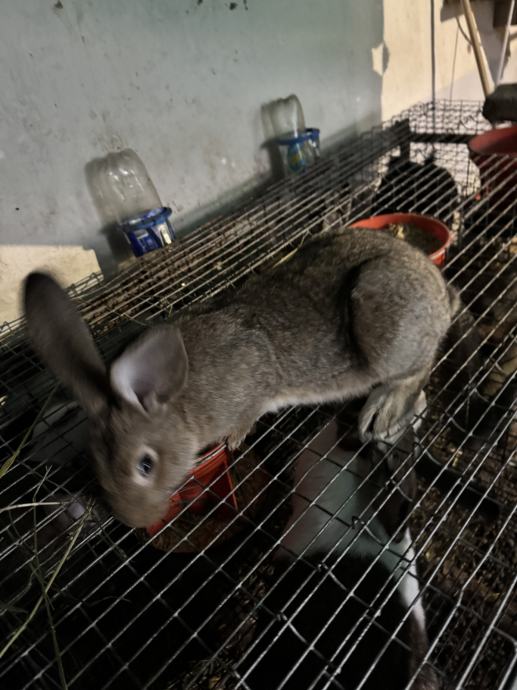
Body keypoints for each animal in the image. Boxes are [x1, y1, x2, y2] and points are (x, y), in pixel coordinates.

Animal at [23, 227, 457, 529]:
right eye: (93, 460)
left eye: (145, 466)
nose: (133, 521)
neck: (177, 404)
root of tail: (439, 291)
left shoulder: (248, 393)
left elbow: (248, 414)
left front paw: (232, 441)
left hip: (384, 330)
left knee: (416, 370)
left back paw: (383, 410)